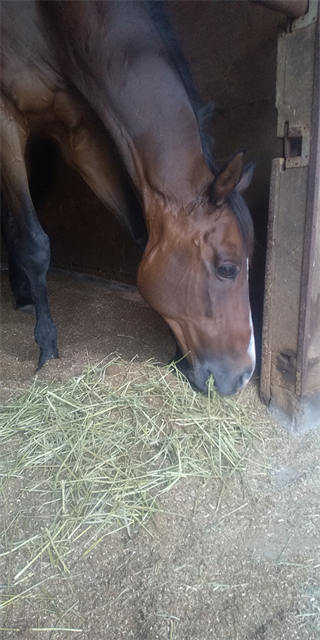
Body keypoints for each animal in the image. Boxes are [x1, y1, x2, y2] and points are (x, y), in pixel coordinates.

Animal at [0, 0, 255, 396]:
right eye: (227, 269)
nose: (244, 376)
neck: (53, 21)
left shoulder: (80, 136)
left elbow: (139, 231)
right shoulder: (7, 119)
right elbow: (35, 245)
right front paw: (47, 348)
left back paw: (23, 295)